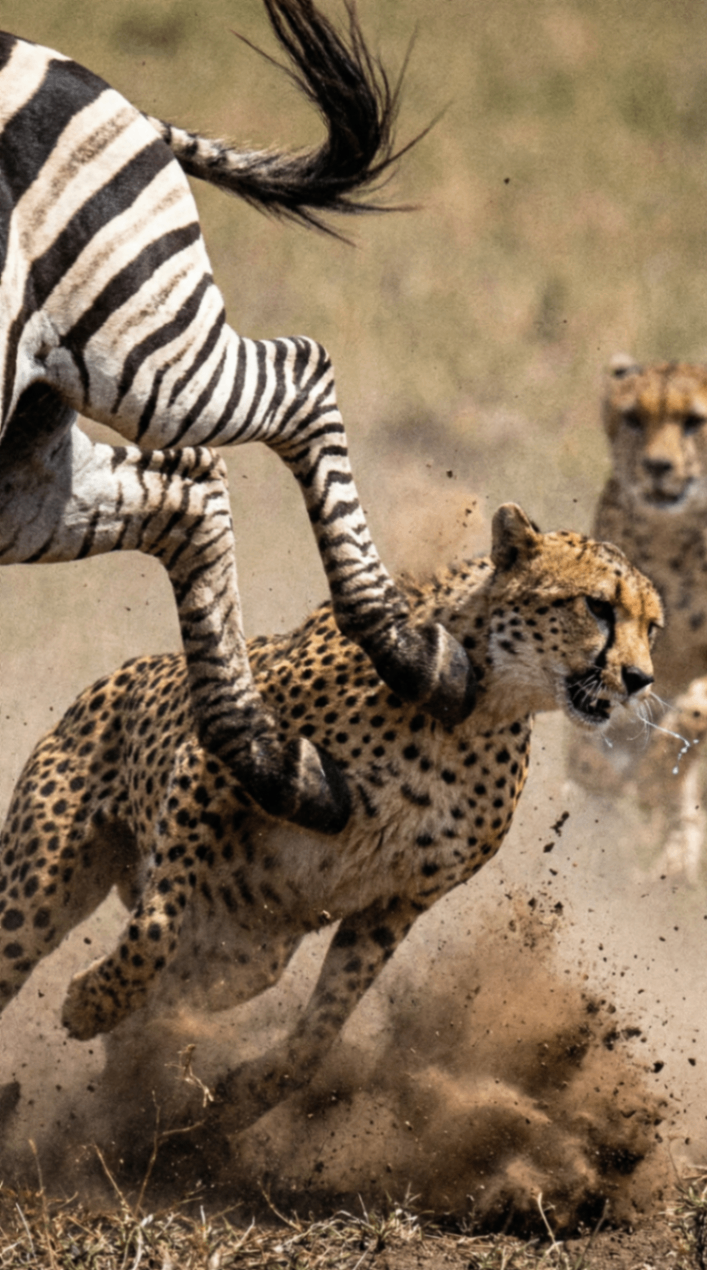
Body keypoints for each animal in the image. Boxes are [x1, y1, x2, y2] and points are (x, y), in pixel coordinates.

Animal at [0, 0, 476, 834]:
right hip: (22, 458)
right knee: (188, 496)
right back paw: (277, 766)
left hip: (135, 334)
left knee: (301, 378)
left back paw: (412, 657)